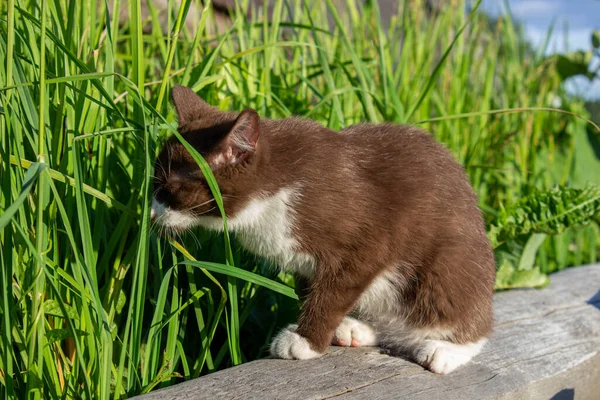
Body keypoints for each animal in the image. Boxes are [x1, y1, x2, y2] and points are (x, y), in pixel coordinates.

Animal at [152, 85, 494, 376]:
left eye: (171, 187)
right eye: (155, 180)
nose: (152, 211)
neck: (270, 194)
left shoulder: (367, 231)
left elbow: (335, 289)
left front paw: (305, 341)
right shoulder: (302, 261)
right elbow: (311, 289)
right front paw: (317, 329)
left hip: (451, 263)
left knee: (463, 309)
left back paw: (447, 350)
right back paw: (356, 329)